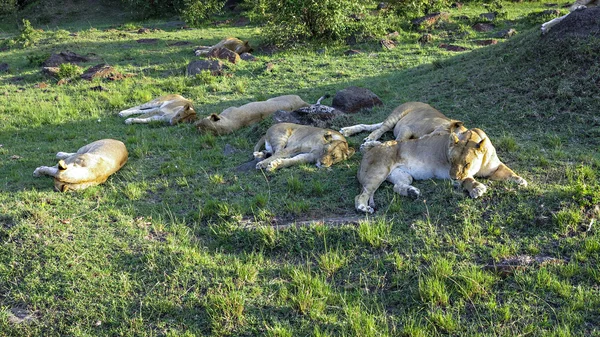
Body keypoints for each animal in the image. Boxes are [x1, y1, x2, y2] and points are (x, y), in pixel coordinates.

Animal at [354, 126, 528, 213]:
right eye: (451, 161)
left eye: (466, 164)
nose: (453, 178)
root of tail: (368, 153)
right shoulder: (452, 174)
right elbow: (467, 179)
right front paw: (477, 188)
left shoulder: (494, 167)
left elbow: (508, 171)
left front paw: (520, 181)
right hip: (378, 172)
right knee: (361, 195)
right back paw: (363, 208)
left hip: (403, 175)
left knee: (397, 186)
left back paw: (412, 192)